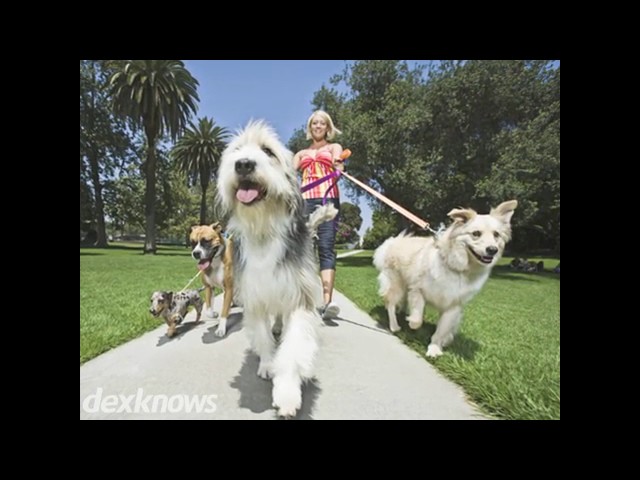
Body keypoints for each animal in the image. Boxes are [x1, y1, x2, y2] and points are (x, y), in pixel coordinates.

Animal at [218, 120, 338, 416]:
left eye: (267, 151)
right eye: (237, 150)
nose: (244, 164)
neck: (264, 229)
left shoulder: (300, 297)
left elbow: (293, 348)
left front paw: (286, 393)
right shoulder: (255, 296)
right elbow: (262, 336)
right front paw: (267, 365)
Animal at [372, 199, 516, 356]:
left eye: (496, 235)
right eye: (476, 234)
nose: (492, 250)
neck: (459, 268)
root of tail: (392, 242)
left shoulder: (453, 306)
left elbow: (442, 330)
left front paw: (436, 347)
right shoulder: (418, 291)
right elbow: (417, 319)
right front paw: (413, 324)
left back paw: (402, 312)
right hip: (396, 284)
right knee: (390, 304)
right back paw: (395, 325)